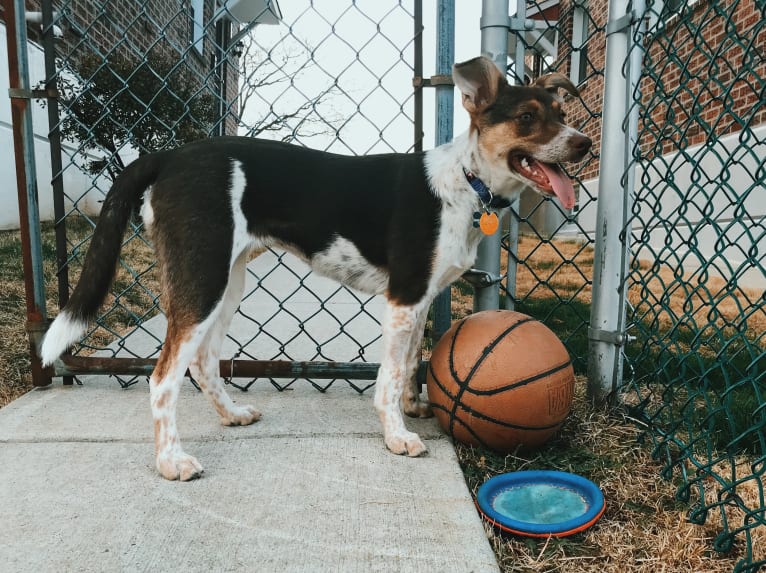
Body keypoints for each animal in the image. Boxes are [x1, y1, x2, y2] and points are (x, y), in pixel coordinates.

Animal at [40, 57, 592, 478]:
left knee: (203, 361)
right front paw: (397, 436)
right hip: (203, 278)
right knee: (163, 377)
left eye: (561, 112)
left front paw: (414, 409)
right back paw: (172, 461)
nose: (584, 143)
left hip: (228, 280)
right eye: (527, 117)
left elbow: (411, 362)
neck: (465, 181)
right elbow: (391, 375)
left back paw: (232, 415)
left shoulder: (418, 300)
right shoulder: (404, 298)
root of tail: (168, 156)